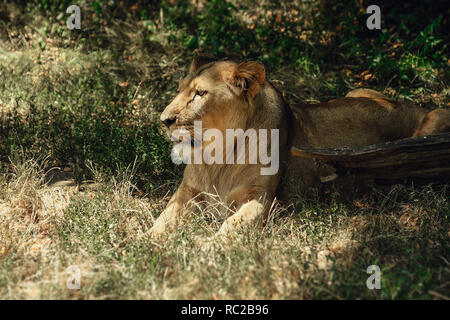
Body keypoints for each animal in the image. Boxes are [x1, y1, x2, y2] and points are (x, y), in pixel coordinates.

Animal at [149, 55, 450, 239]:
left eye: (200, 94)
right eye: (180, 89)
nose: (164, 120)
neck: (219, 153)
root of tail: (412, 106)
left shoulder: (259, 198)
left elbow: (233, 226)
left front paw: (208, 248)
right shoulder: (188, 192)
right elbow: (163, 219)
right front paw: (144, 243)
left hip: (436, 118)